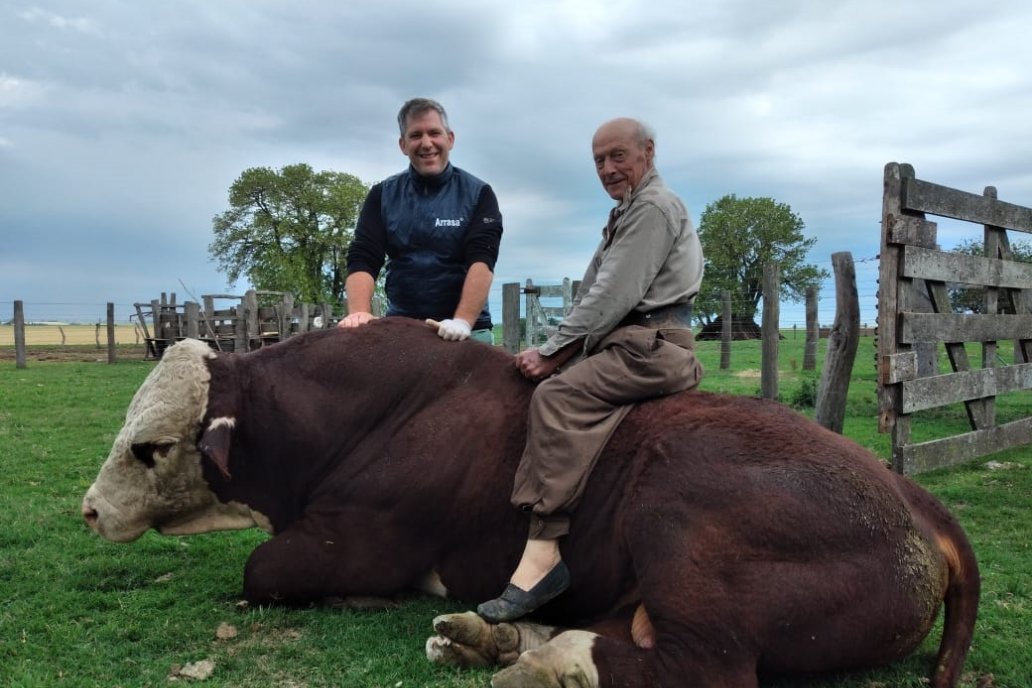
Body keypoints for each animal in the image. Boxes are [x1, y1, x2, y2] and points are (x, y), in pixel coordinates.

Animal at [84, 319, 978, 688]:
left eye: (148, 447)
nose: (90, 510)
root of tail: (912, 497)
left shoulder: (357, 541)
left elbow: (262, 570)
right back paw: (497, 639)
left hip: (679, 517)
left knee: (705, 667)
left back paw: (545, 659)